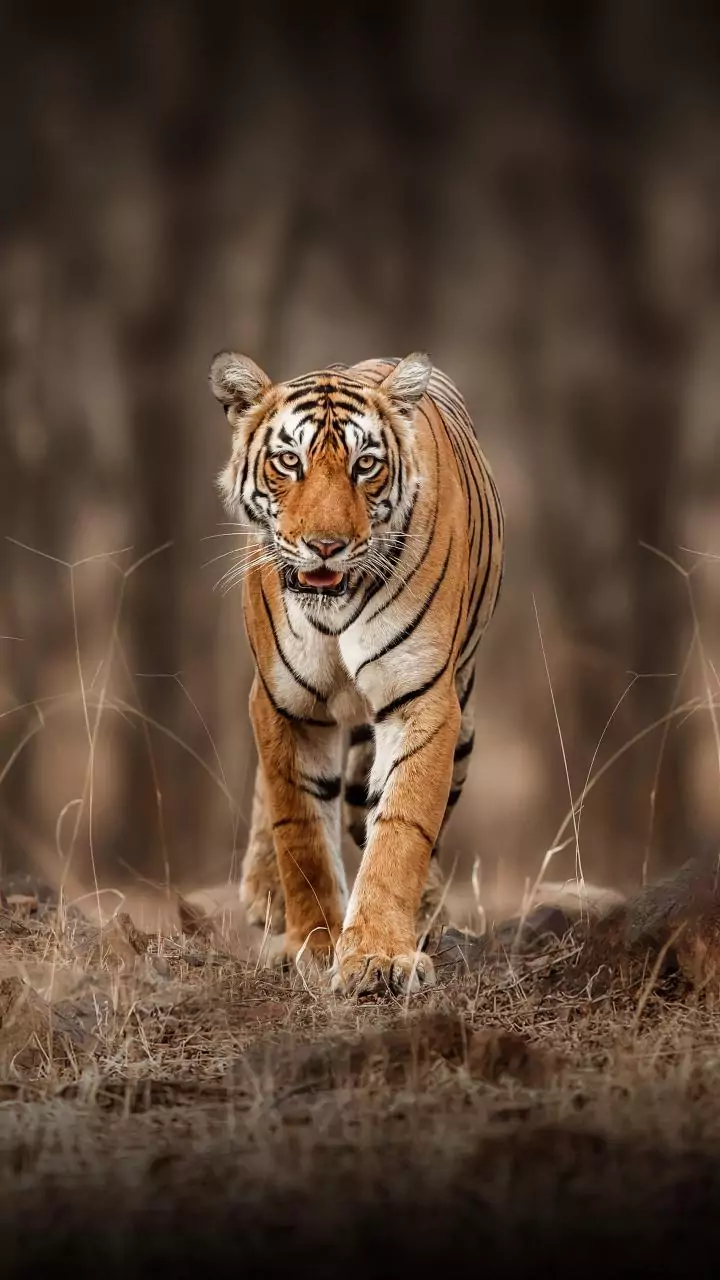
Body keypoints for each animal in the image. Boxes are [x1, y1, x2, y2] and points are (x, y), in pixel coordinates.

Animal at [208, 350, 505, 997]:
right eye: (288, 461)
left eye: (364, 464)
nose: (325, 546)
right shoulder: (281, 703)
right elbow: (299, 829)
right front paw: (315, 943)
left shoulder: (422, 698)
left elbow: (401, 827)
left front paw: (376, 956)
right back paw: (265, 893)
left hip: (465, 722)